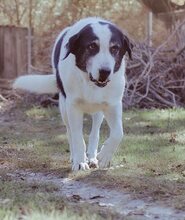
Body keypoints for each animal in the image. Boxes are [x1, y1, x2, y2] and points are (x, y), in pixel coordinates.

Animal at [13, 17, 132, 171]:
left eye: (114, 48)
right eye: (91, 46)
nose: (105, 72)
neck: (90, 82)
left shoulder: (113, 104)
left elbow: (118, 133)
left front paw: (105, 156)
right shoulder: (73, 107)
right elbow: (77, 136)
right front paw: (80, 161)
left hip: (98, 111)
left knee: (95, 131)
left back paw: (92, 157)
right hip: (64, 108)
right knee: (69, 132)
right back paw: (75, 156)